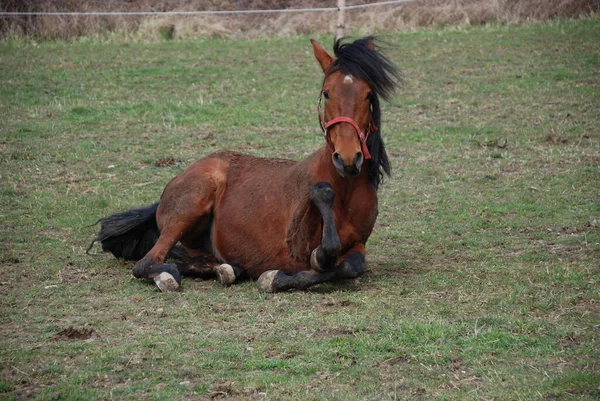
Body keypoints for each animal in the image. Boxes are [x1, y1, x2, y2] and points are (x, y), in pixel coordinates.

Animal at [88, 36, 398, 292]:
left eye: (368, 94)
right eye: (326, 93)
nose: (347, 158)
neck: (345, 189)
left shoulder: (358, 244)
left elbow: (351, 265)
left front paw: (275, 277)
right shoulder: (296, 245)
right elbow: (325, 238)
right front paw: (280, 275)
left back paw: (227, 270)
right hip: (189, 207)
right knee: (147, 262)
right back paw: (169, 277)